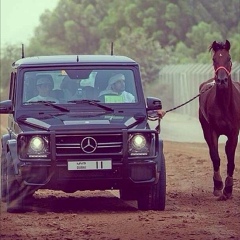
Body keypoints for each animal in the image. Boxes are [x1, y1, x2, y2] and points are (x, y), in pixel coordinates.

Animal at [199, 39, 240, 201]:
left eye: (229, 58)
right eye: (214, 59)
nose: (222, 80)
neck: (224, 105)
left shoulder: (234, 132)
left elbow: (231, 158)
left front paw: (228, 189)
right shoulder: (212, 131)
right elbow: (215, 157)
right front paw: (218, 186)